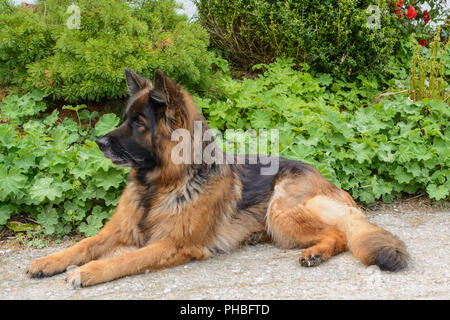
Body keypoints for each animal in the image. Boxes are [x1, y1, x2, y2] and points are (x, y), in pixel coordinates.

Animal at [26, 69, 410, 286]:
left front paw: (87, 272)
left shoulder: (172, 245)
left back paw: (315, 252)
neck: (163, 184)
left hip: (281, 211)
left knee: (340, 235)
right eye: (123, 118)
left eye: (139, 123)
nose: (99, 142)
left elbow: (122, 260)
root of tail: (323, 176)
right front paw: (48, 261)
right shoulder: (116, 230)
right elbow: (82, 245)